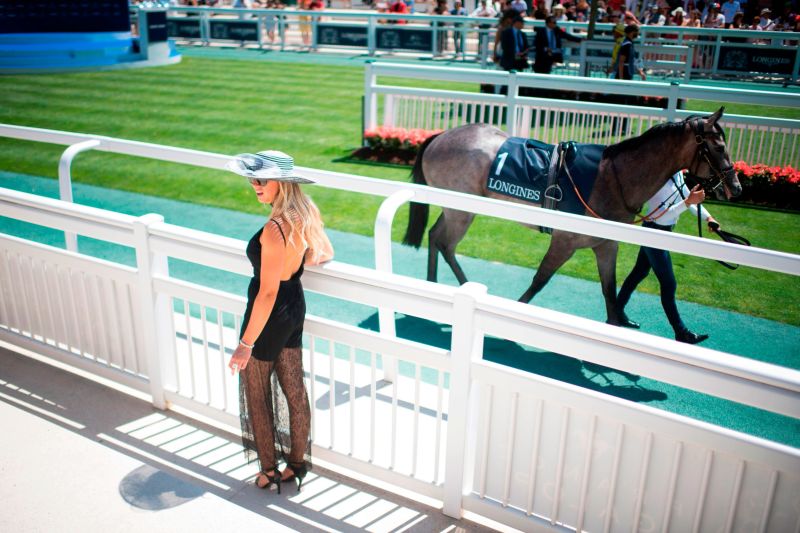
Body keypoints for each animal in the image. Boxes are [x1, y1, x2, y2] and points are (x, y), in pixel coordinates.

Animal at [404, 106, 740, 324]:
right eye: (718, 147)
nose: (735, 186)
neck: (613, 178)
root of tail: (439, 137)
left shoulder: (606, 244)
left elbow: (609, 290)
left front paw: (619, 324)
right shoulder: (564, 241)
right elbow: (540, 280)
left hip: (458, 208)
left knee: (436, 237)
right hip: (461, 210)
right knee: (445, 242)